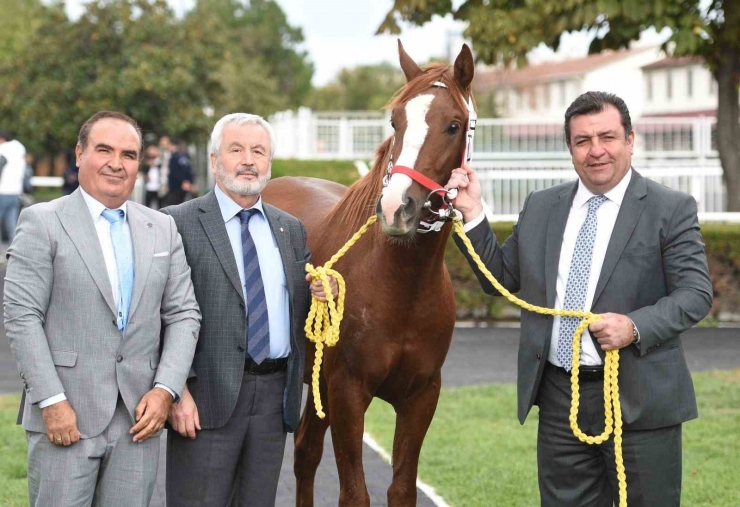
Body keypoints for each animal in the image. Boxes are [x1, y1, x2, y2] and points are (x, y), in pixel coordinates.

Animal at [264, 41, 476, 506]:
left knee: (305, 450)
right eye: (395, 120)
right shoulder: (348, 392)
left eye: (453, 125)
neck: (401, 286)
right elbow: (355, 493)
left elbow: (401, 489)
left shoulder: (421, 397)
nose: (397, 208)